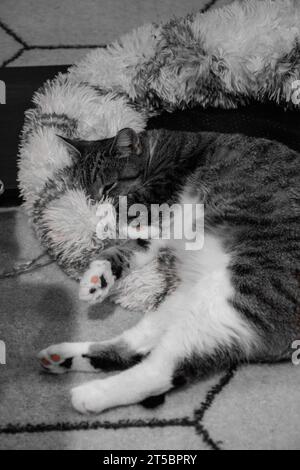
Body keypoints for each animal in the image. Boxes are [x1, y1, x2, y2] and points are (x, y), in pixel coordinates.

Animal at [38, 126, 300, 414]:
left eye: (109, 185)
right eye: (87, 192)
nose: (93, 203)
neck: (155, 152)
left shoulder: (158, 196)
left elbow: (125, 212)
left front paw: (102, 218)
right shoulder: (154, 230)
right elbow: (126, 250)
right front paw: (97, 279)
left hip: (238, 297)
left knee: (161, 369)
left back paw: (90, 395)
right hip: (182, 301)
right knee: (134, 347)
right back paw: (60, 357)